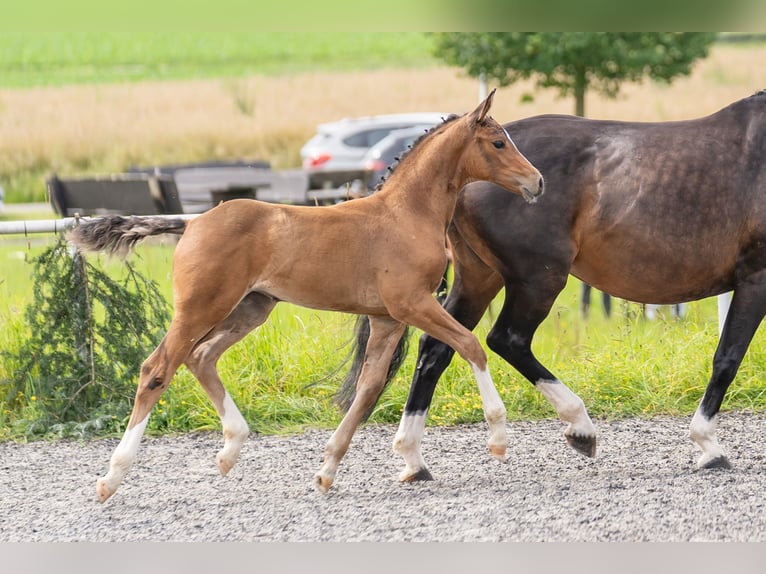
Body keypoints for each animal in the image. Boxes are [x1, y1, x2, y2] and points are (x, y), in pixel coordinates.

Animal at [69, 91, 544, 504]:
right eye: (498, 141)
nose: (537, 182)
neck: (407, 214)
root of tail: (192, 223)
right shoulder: (411, 304)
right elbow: (470, 345)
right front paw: (498, 439)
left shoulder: (388, 318)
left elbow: (368, 389)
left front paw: (327, 471)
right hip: (201, 308)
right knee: (157, 369)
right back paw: (112, 478)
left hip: (251, 308)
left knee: (201, 358)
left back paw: (230, 450)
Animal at [340, 90, 766, 484]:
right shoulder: (754, 278)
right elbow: (727, 358)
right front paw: (709, 447)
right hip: (539, 279)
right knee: (505, 339)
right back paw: (580, 426)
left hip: (480, 278)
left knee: (437, 347)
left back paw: (414, 458)